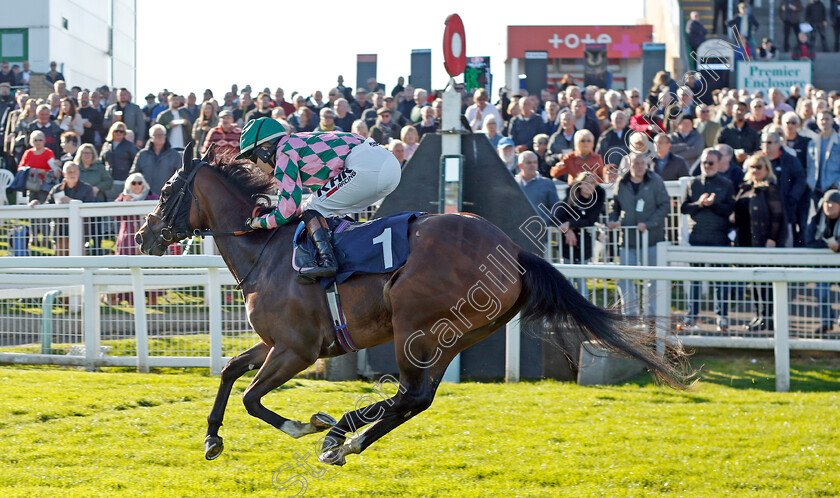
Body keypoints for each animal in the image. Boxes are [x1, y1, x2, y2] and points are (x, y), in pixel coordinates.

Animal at [136, 146, 688, 464]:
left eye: (166, 190)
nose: (144, 236)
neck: (265, 252)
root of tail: (513, 252)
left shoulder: (296, 350)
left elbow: (253, 397)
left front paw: (303, 424)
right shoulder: (276, 343)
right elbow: (231, 371)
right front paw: (212, 439)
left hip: (416, 325)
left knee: (410, 394)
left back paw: (342, 436)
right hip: (450, 335)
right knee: (415, 397)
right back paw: (345, 437)